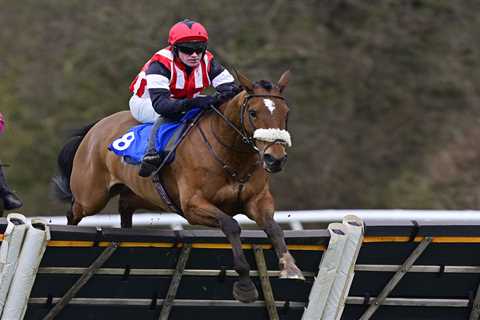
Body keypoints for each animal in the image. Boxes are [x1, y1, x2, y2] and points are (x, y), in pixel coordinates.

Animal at [53, 70, 304, 302]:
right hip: (91, 197)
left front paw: (291, 269)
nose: (275, 158)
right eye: (253, 112)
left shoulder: (258, 200)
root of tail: (96, 127)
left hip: (138, 195)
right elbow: (231, 225)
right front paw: (244, 285)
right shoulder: (193, 205)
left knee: (125, 208)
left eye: (286, 113)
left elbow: (274, 228)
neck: (231, 155)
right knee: (73, 212)